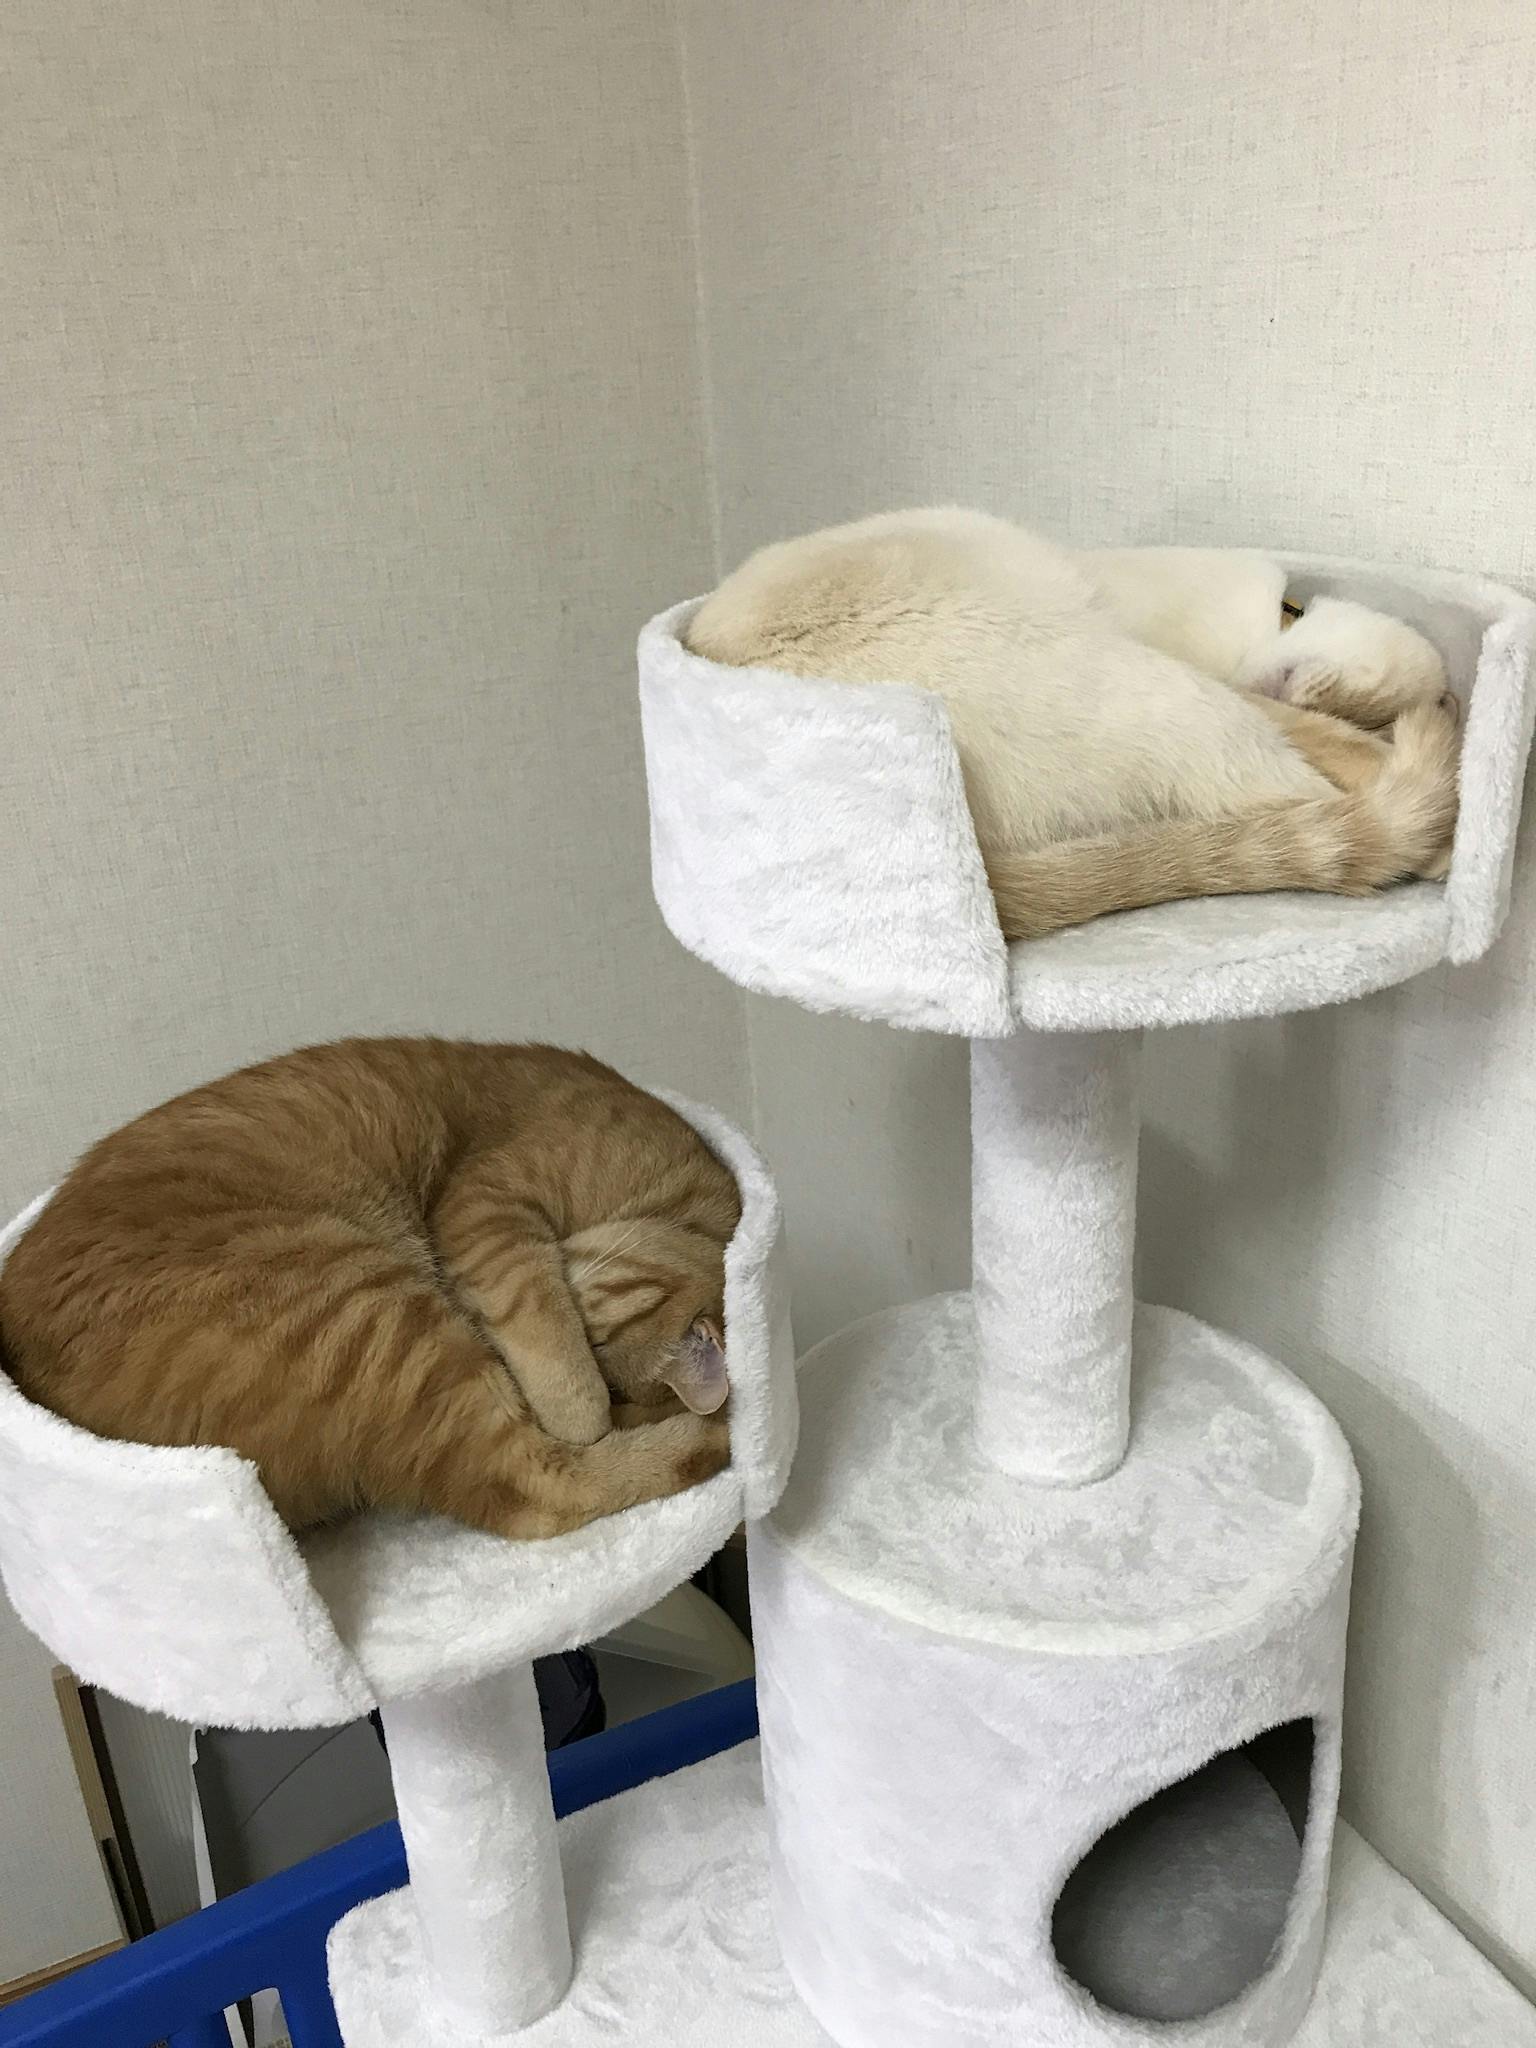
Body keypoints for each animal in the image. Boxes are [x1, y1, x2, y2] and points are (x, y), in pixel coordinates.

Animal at [0, 1039, 738, 1540]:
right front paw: (584, 1406)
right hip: (374, 1311)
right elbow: (561, 1369)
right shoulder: (488, 1207)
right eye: (594, 1345)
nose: (618, 1404)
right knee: (538, 1486)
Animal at [684, 509, 1459, 939]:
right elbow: (1331, 746)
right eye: (1341, 705)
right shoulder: (1238, 687)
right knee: (1361, 817)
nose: (1307, 697)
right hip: (1164, 694)